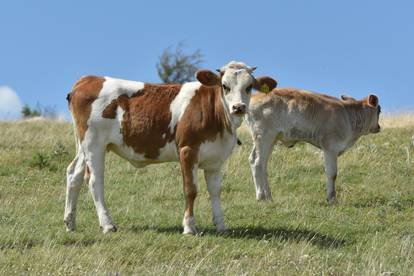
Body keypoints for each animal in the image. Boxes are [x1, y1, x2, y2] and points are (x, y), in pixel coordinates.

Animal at [63, 61, 276, 234]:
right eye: (225, 86)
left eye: (249, 87)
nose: (239, 107)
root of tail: (87, 79)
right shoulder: (188, 150)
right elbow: (191, 189)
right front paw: (189, 227)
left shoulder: (216, 158)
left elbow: (215, 191)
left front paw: (221, 225)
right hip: (94, 143)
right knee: (94, 181)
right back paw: (107, 224)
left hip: (83, 145)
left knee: (74, 174)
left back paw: (70, 223)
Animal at [246, 88, 382, 203]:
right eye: (379, 110)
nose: (378, 127)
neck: (348, 117)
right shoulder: (330, 147)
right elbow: (332, 174)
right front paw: (332, 199)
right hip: (264, 136)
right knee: (258, 162)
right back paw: (262, 196)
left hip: (269, 140)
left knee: (258, 162)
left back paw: (267, 196)